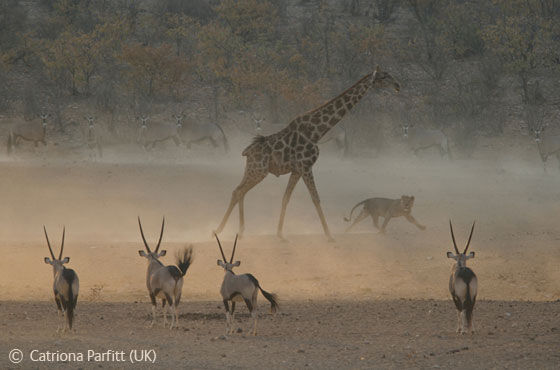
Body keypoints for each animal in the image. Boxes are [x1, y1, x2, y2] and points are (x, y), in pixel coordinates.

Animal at [213, 65, 398, 241]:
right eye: (383, 77)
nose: (397, 85)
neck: (317, 132)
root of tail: (246, 152)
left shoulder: (297, 169)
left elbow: (286, 198)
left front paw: (280, 234)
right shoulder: (306, 166)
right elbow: (315, 198)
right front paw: (329, 235)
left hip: (254, 169)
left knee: (239, 191)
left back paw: (239, 232)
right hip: (258, 170)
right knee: (238, 191)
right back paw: (219, 230)